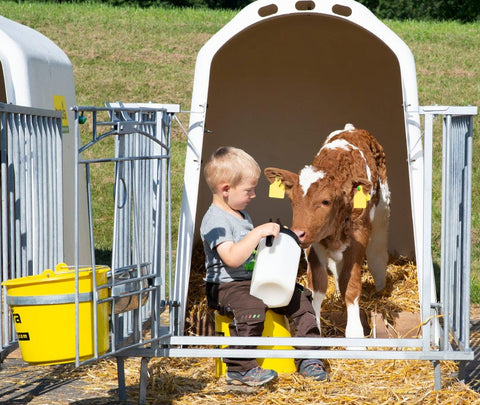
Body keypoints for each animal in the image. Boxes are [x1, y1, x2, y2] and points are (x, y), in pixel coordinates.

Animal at [266, 123, 390, 340]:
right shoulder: (313, 243)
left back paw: (380, 288)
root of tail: (352, 129)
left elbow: (352, 286)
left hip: (382, 213)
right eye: (292, 199)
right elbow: (318, 286)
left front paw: (355, 334)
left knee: (378, 254)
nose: (298, 233)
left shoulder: (358, 237)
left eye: (326, 201)